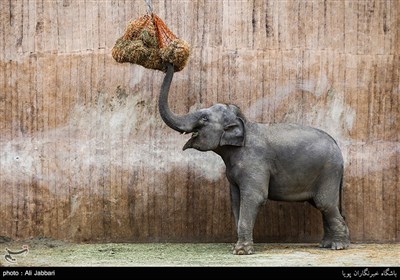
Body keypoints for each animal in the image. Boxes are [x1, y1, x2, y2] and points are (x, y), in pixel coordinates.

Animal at [158, 62, 348, 255]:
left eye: (204, 119)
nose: (169, 64)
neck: (244, 124)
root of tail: (337, 145)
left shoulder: (255, 163)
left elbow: (254, 197)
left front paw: (241, 251)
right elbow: (236, 200)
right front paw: (237, 247)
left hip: (329, 172)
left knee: (325, 204)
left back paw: (338, 246)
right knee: (323, 206)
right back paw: (326, 244)